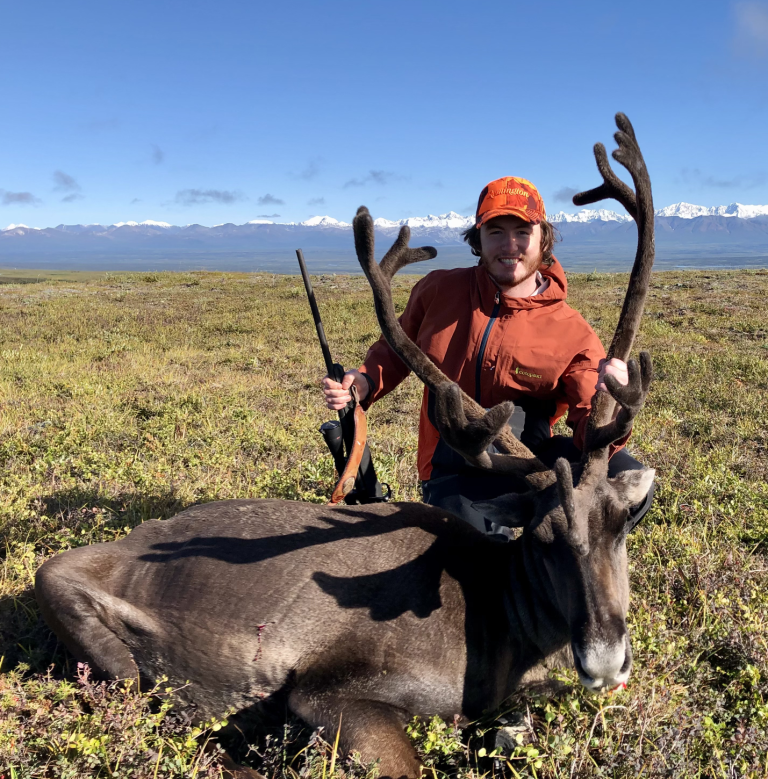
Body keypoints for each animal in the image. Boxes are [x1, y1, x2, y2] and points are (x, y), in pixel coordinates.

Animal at [35, 114, 655, 779]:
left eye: (623, 521)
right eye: (541, 538)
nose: (604, 660)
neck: (498, 622)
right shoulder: (328, 690)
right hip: (87, 623)